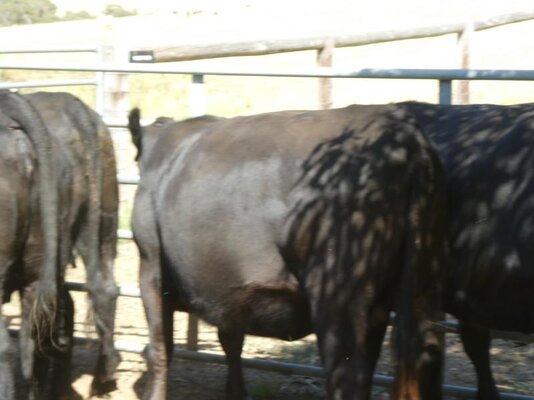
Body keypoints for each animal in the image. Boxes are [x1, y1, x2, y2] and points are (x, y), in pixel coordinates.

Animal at [130, 106, 448, 400]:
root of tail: (407, 137)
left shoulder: (151, 265)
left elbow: (160, 347)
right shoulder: (228, 289)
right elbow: (231, 341)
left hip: (338, 295)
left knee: (347, 373)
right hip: (412, 290)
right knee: (420, 357)